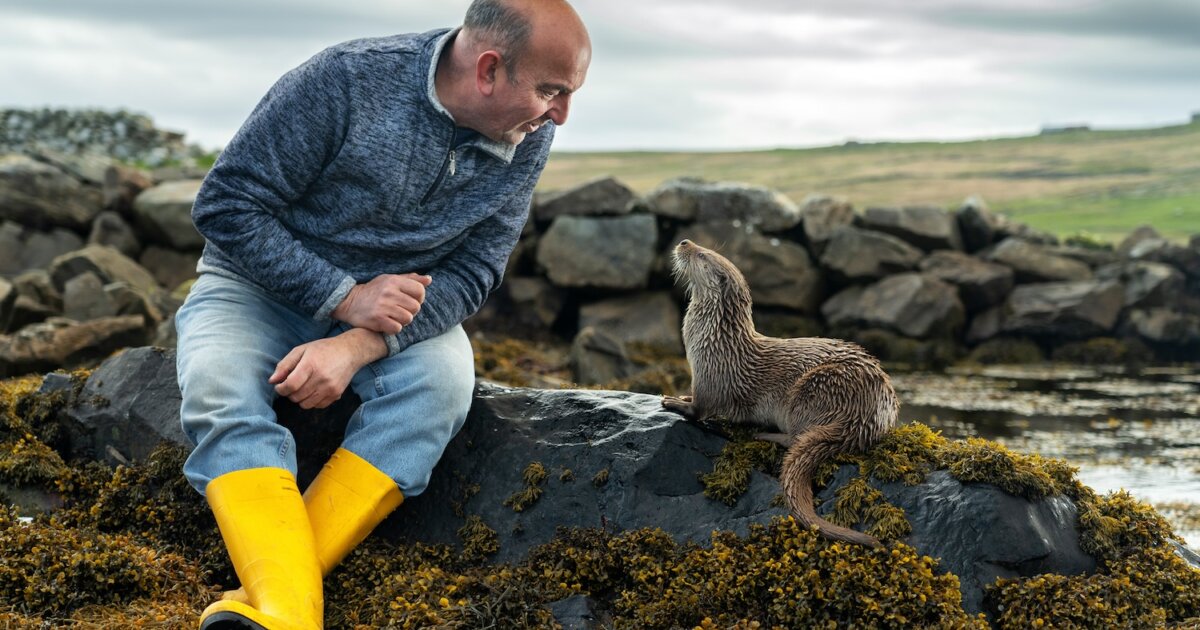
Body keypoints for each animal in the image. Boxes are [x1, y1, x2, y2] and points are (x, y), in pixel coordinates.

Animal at [667, 240, 902, 544]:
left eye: (703, 254)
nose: (685, 242)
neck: (716, 339)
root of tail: (867, 417)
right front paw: (682, 395)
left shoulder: (711, 376)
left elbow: (700, 409)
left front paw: (675, 402)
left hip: (813, 390)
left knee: (796, 437)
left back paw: (765, 434)